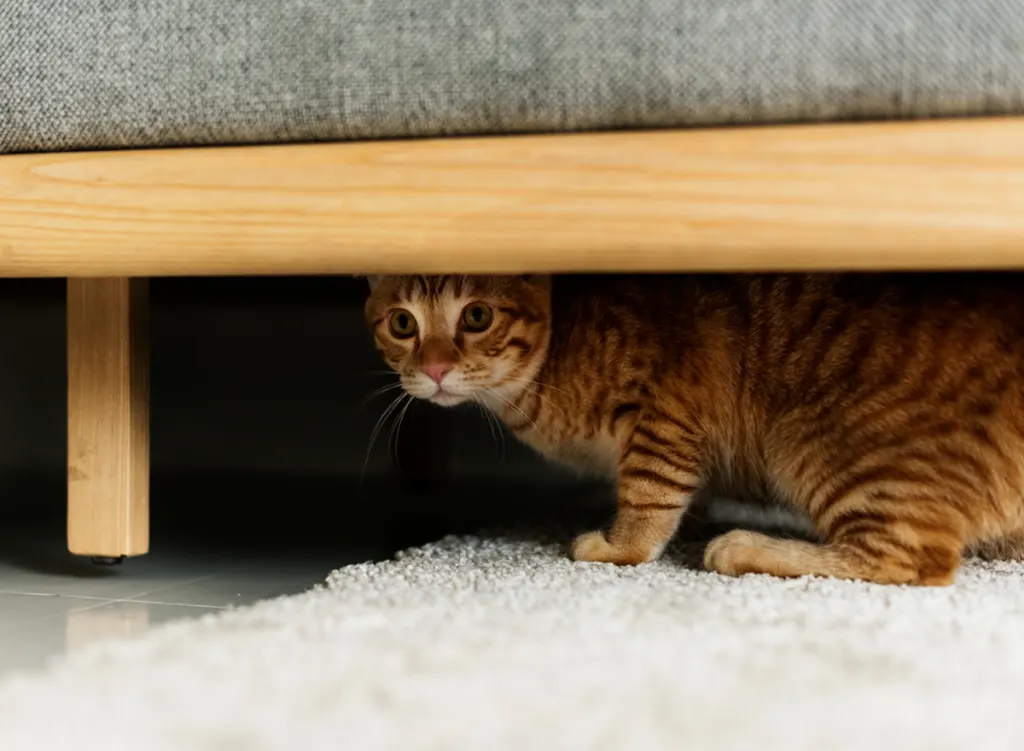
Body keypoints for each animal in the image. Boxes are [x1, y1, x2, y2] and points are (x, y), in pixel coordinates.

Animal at [366, 272, 1024, 581]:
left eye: (476, 315)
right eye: (402, 324)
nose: (435, 368)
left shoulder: (667, 409)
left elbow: (648, 494)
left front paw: (621, 547)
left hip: (820, 445)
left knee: (910, 559)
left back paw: (748, 548)